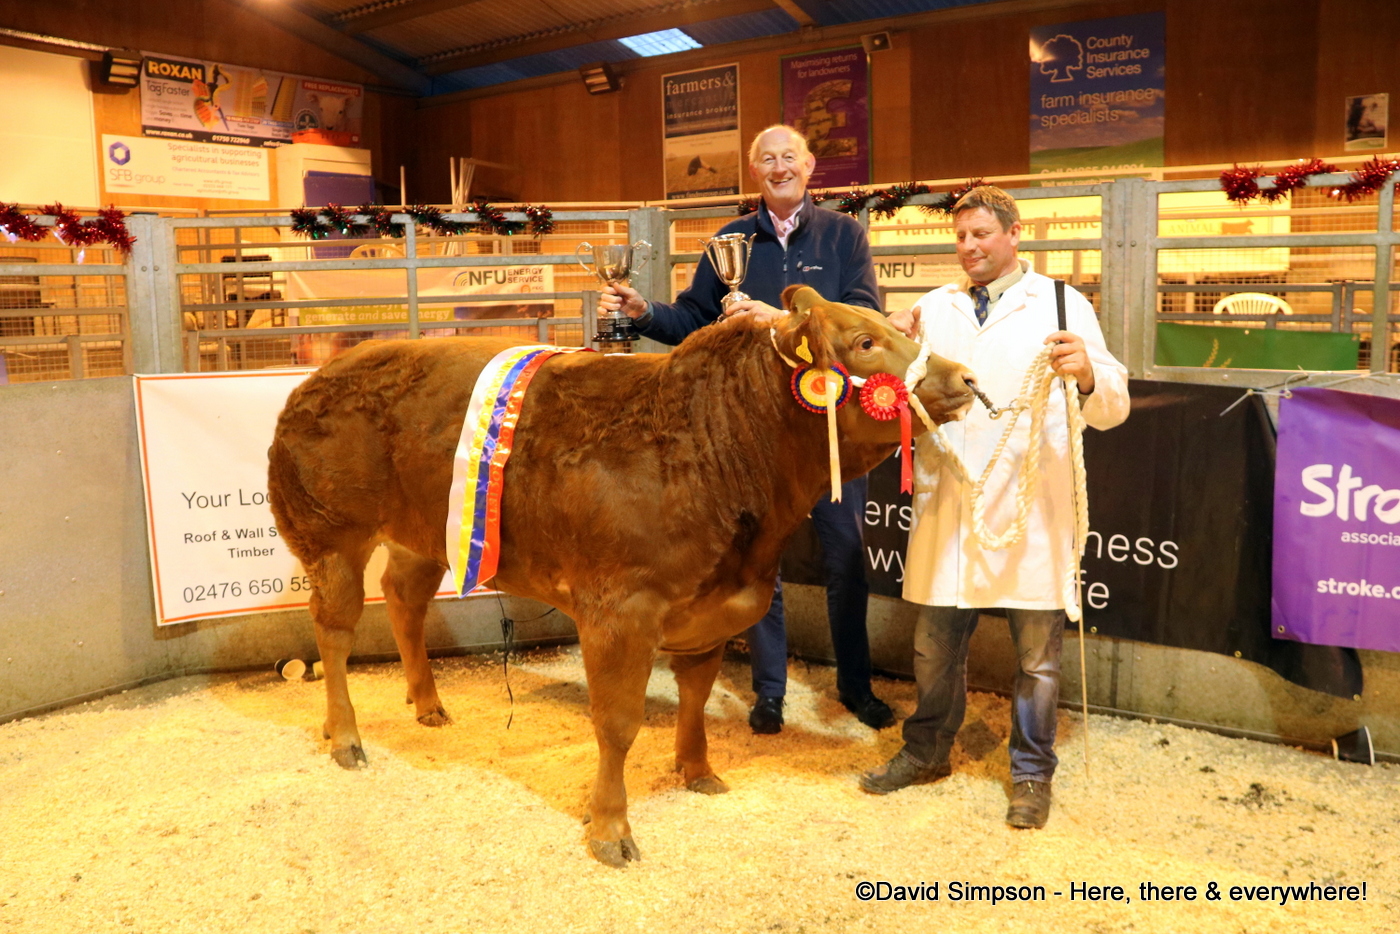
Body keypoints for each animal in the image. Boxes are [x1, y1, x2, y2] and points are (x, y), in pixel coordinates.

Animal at [267, 285, 975, 867]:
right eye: (865, 342)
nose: (966, 376)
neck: (715, 447)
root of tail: (315, 378)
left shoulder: (712, 607)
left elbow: (694, 695)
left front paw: (697, 771)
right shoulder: (619, 612)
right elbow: (617, 722)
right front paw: (610, 828)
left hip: (426, 534)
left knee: (402, 598)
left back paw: (427, 703)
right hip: (331, 535)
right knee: (334, 631)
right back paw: (346, 736)